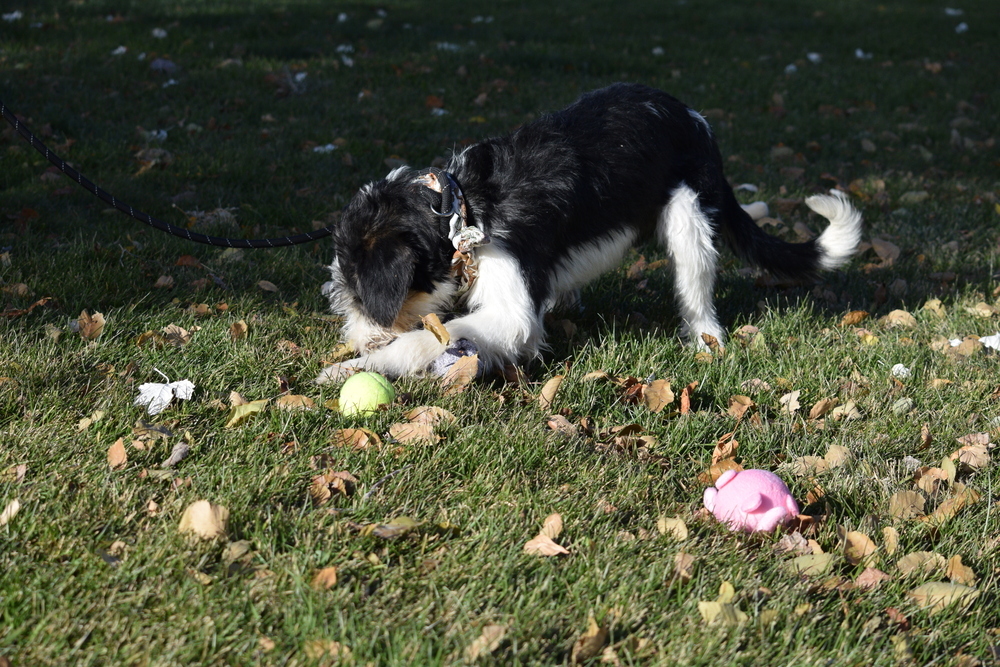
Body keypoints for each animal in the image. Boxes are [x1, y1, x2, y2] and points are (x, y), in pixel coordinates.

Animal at [318, 83, 860, 380]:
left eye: (361, 293)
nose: (357, 338)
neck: (460, 209)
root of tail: (696, 119)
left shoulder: (513, 311)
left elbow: (429, 339)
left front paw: (354, 368)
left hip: (690, 220)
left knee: (697, 288)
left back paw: (706, 338)